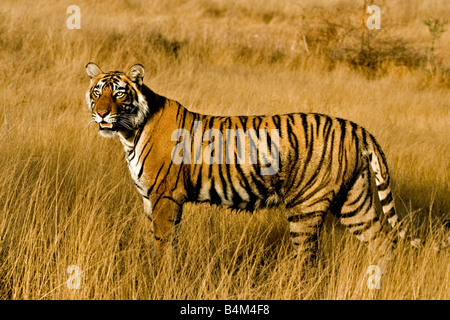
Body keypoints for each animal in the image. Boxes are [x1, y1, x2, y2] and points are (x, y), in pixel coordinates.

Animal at [84, 62, 414, 270]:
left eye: (119, 93)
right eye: (97, 92)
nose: (101, 114)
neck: (129, 133)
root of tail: (357, 128)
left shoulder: (165, 197)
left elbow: (164, 243)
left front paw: (162, 278)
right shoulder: (148, 199)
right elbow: (154, 240)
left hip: (306, 206)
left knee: (307, 258)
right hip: (353, 201)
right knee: (383, 243)